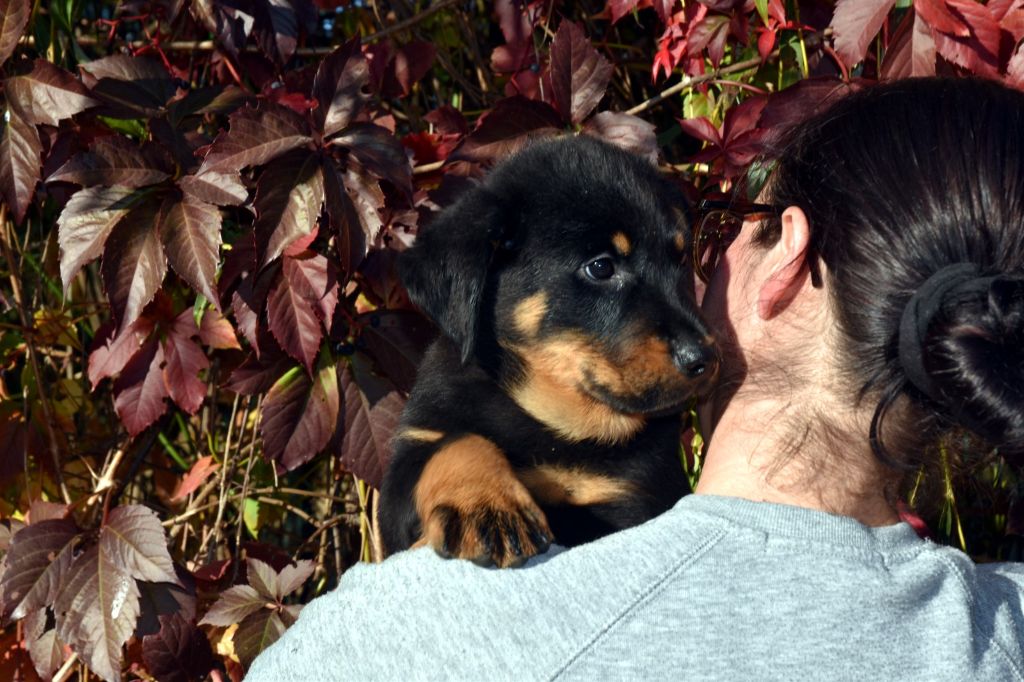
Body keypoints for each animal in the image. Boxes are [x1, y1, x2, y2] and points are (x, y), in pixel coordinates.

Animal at [379, 136, 719, 567]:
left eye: (680, 259)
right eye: (601, 267)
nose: (705, 359)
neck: (558, 427)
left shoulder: (638, 494)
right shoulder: (409, 459)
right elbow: (454, 443)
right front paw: (484, 507)